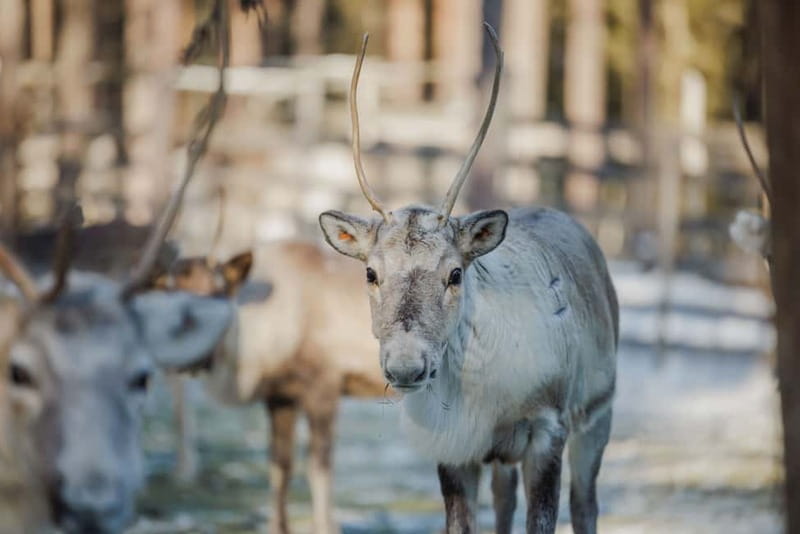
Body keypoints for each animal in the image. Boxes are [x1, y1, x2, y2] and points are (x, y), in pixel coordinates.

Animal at [148, 238, 385, 534]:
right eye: (170, 295)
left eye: (217, 293)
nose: (185, 357)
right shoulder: (280, 396)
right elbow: (280, 466)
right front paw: (278, 526)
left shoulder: (323, 387)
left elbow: (318, 469)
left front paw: (326, 526)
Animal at [317, 23, 619, 534]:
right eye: (371, 272)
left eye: (455, 272)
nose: (406, 366)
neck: (487, 398)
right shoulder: (455, 447)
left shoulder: (549, 428)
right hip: (503, 458)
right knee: (504, 501)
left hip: (599, 413)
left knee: (586, 504)